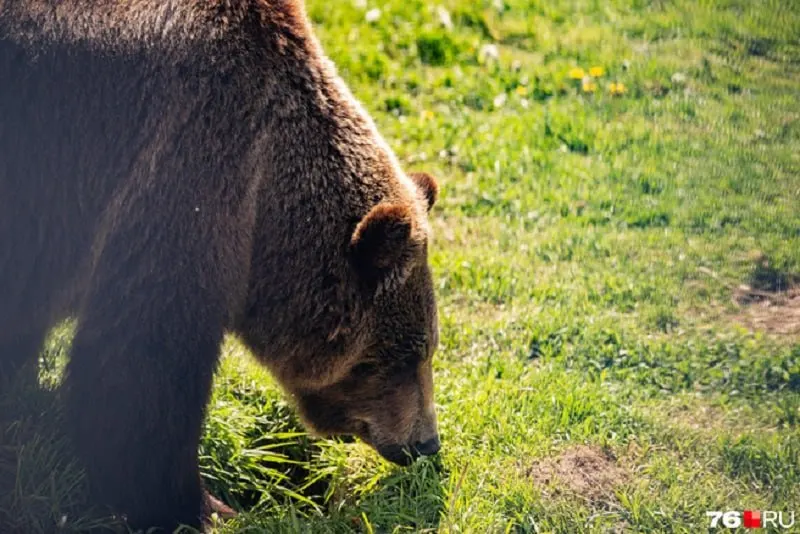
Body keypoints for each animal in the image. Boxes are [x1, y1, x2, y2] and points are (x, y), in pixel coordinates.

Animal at [0, 0, 441, 531]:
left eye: (428, 348)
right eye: (405, 355)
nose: (425, 443)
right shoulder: (189, 165)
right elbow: (140, 364)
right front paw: (202, 506)